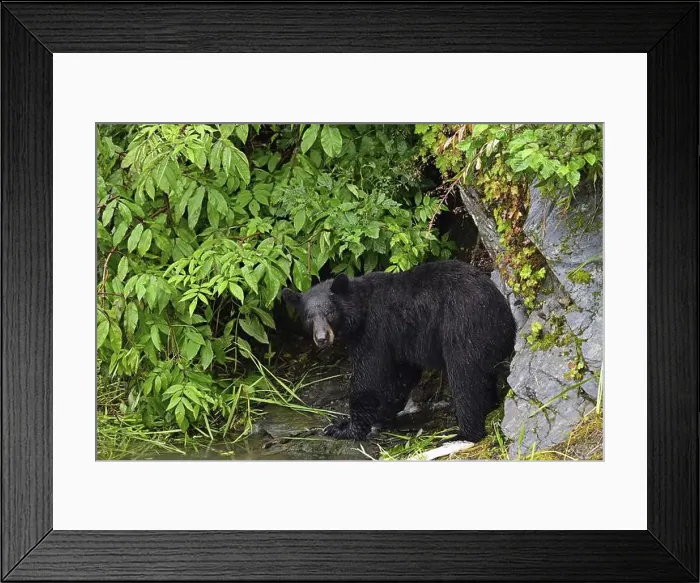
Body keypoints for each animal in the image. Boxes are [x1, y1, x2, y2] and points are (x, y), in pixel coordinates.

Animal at [281, 259, 516, 442]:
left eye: (329, 312)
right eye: (308, 317)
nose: (322, 338)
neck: (360, 309)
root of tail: (506, 318)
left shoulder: (375, 331)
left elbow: (369, 377)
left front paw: (345, 428)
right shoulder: (400, 341)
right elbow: (402, 376)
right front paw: (380, 418)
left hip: (465, 328)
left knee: (465, 378)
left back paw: (464, 434)